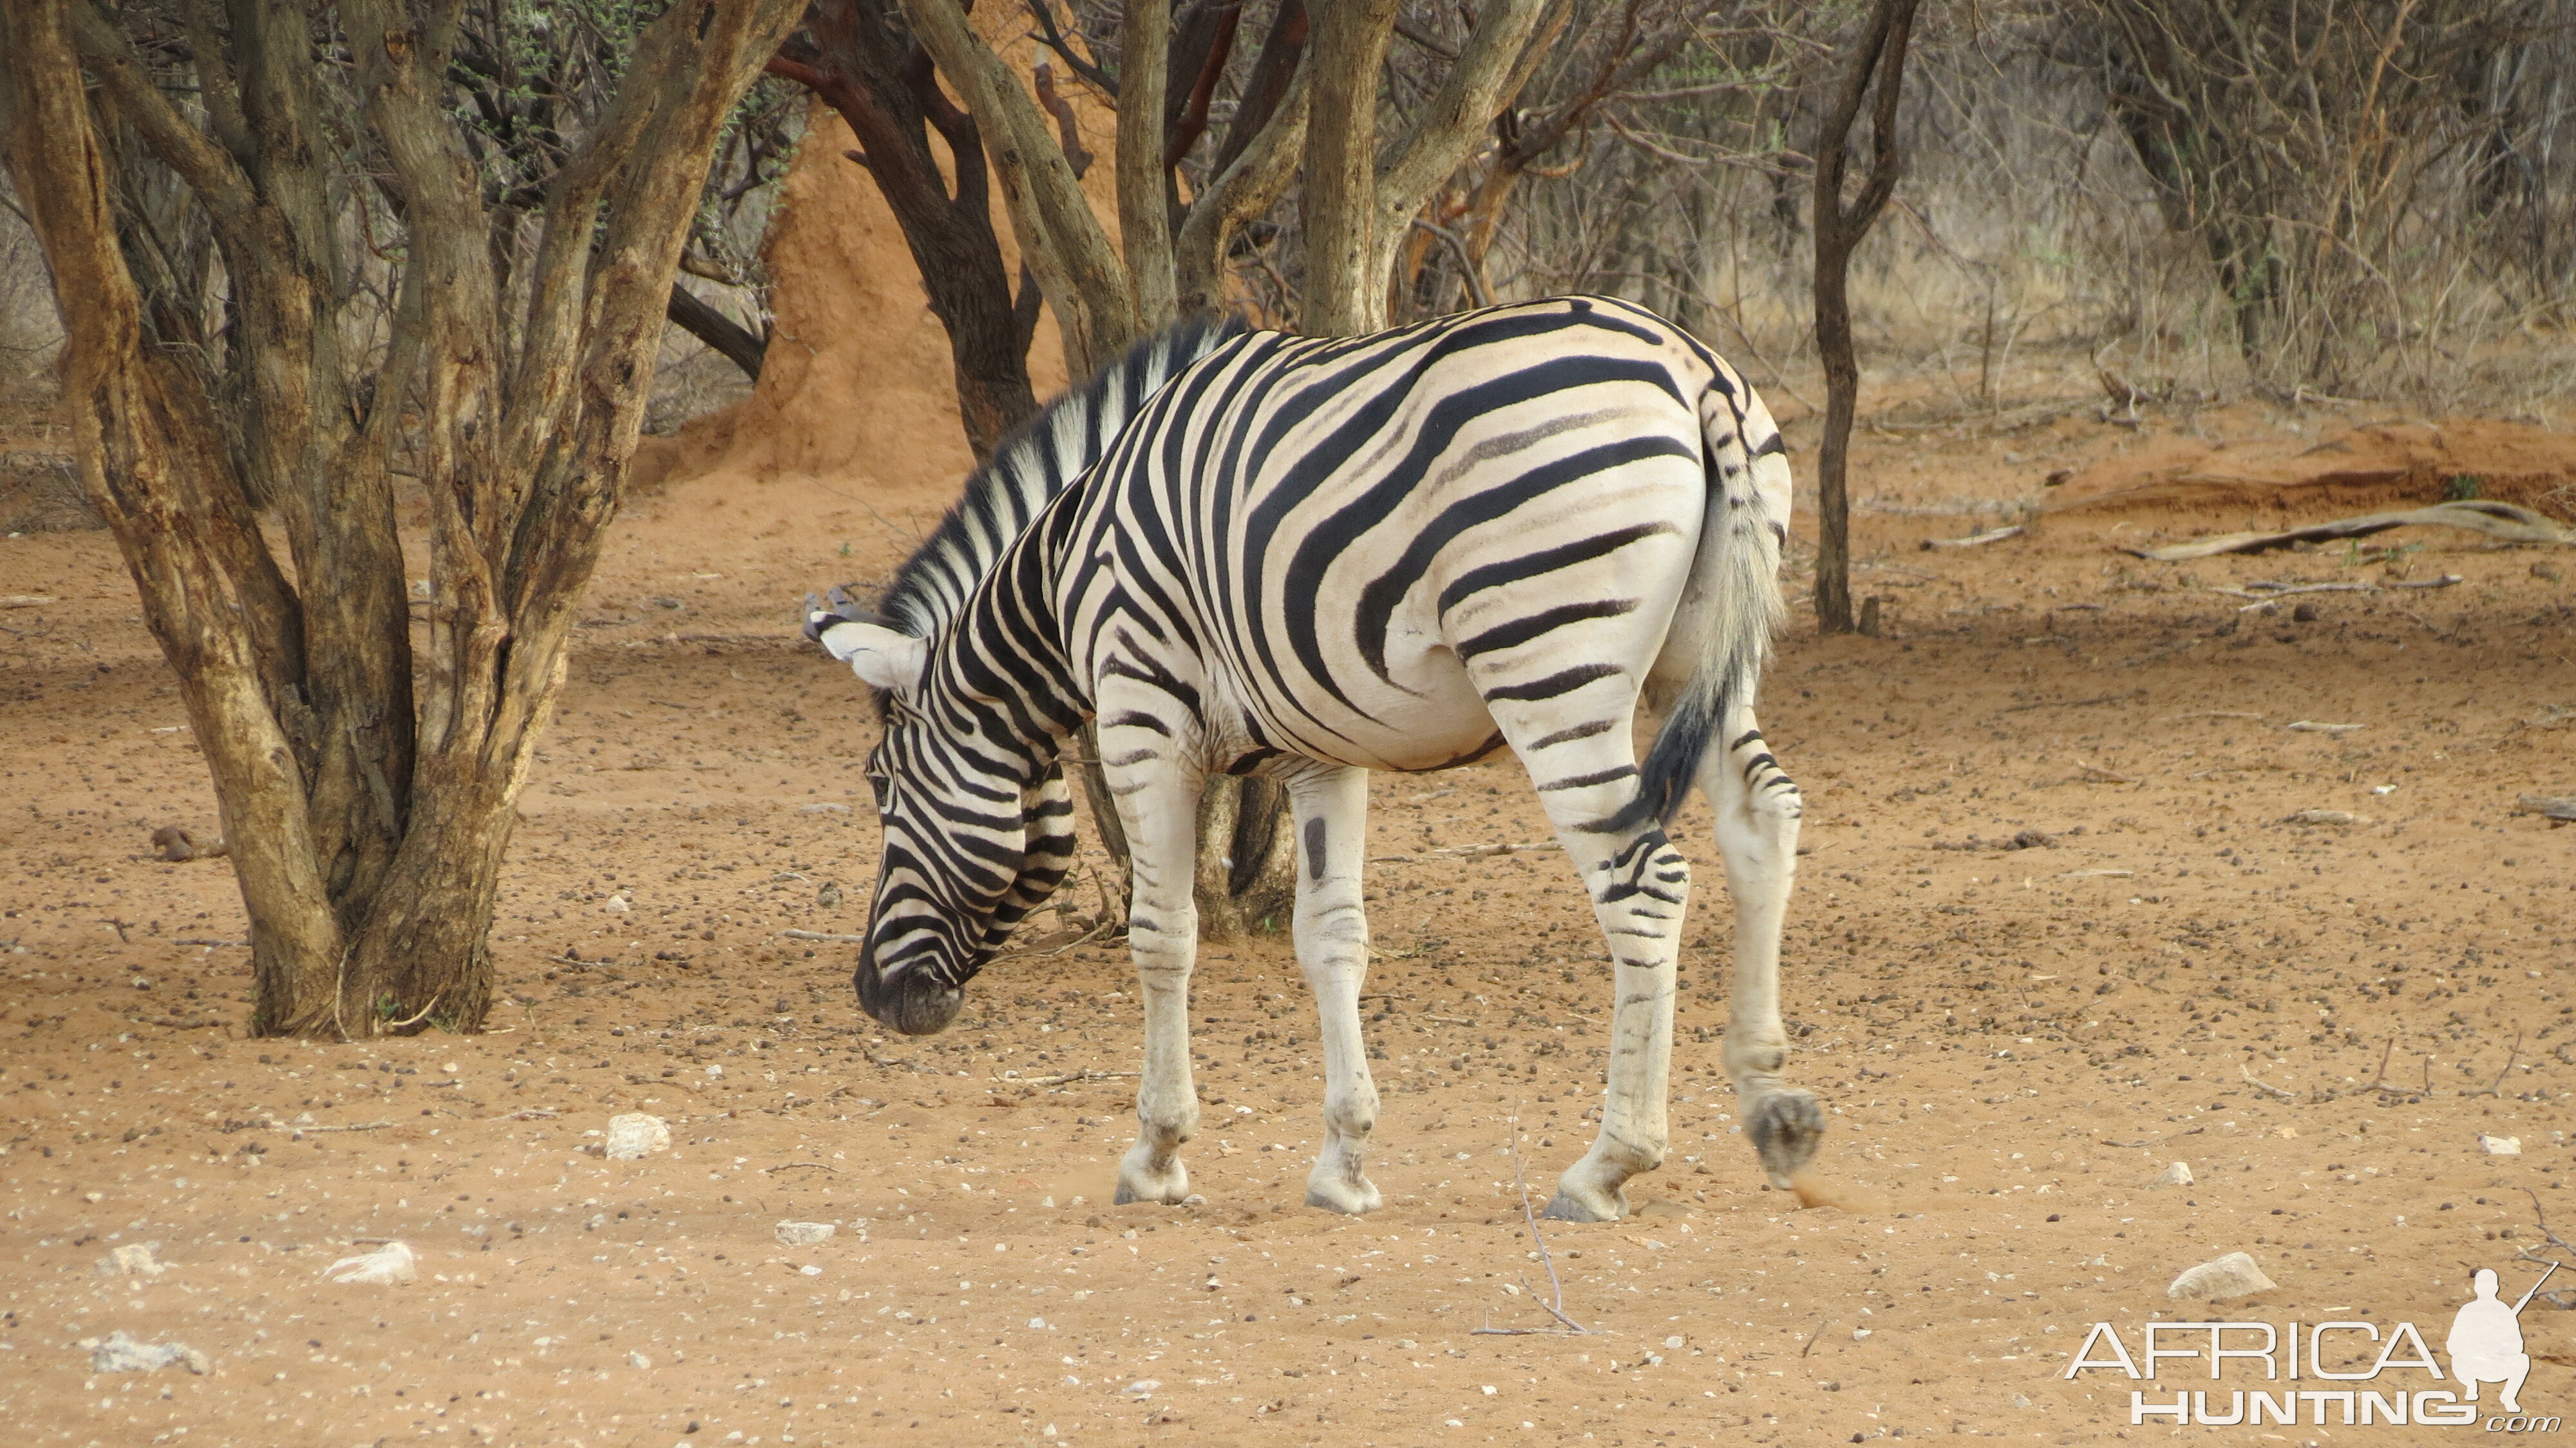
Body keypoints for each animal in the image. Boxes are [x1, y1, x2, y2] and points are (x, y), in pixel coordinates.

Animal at [804, 296, 1814, 1216]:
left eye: (882, 788)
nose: (873, 996)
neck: (1060, 575)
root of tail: (1692, 367)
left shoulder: (1141, 719)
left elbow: (1161, 935)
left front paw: (1157, 1156)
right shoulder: (1319, 750)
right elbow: (1333, 939)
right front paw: (1344, 1165)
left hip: (1551, 664)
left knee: (1642, 883)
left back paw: (1609, 1164)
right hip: (1700, 662)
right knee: (1763, 822)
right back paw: (1773, 1108)